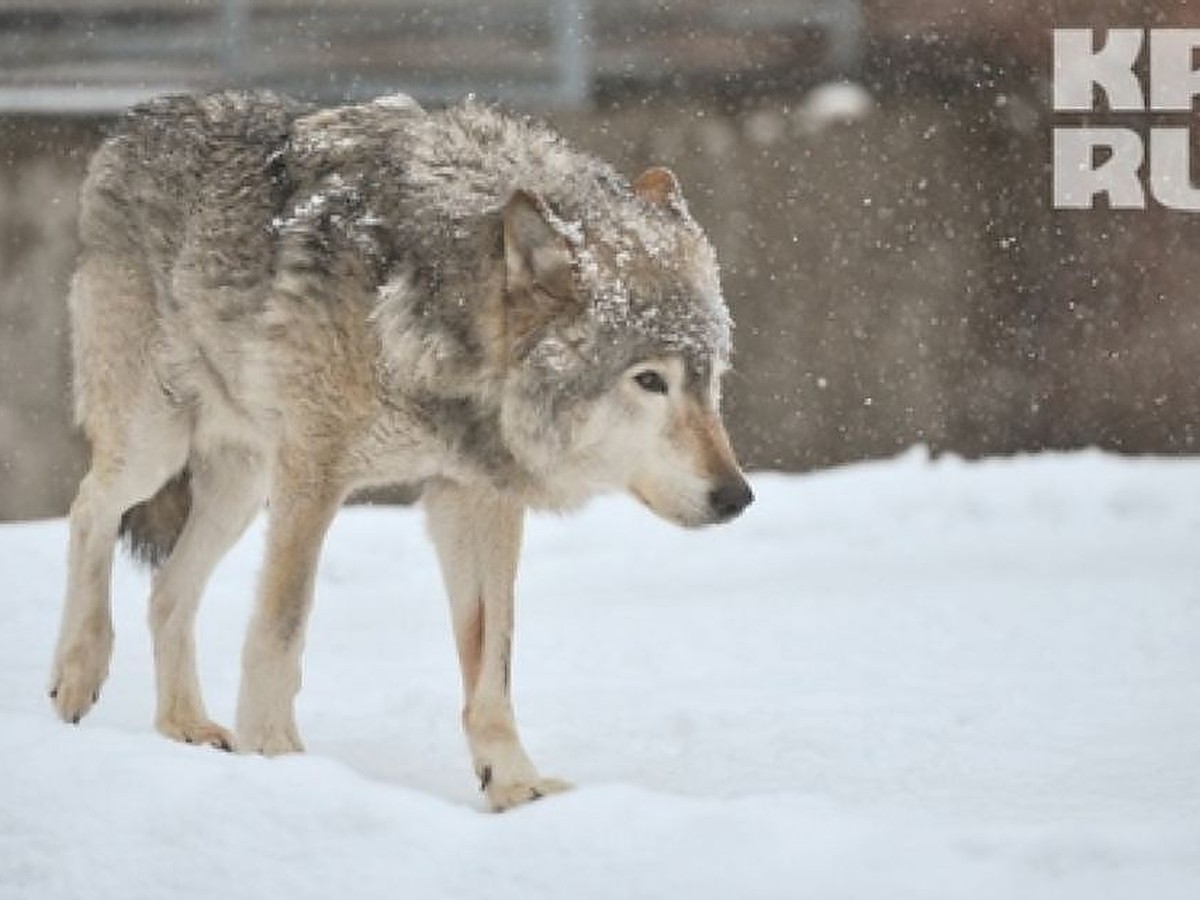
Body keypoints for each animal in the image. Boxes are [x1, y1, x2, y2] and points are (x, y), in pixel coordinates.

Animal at [51, 90, 753, 811]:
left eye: (710, 380)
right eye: (650, 380)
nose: (737, 496)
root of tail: (137, 118)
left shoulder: (475, 498)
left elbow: (493, 658)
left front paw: (514, 782)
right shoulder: (315, 473)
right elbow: (281, 626)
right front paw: (276, 756)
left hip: (241, 488)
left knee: (166, 591)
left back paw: (185, 725)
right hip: (157, 447)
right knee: (90, 506)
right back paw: (79, 670)